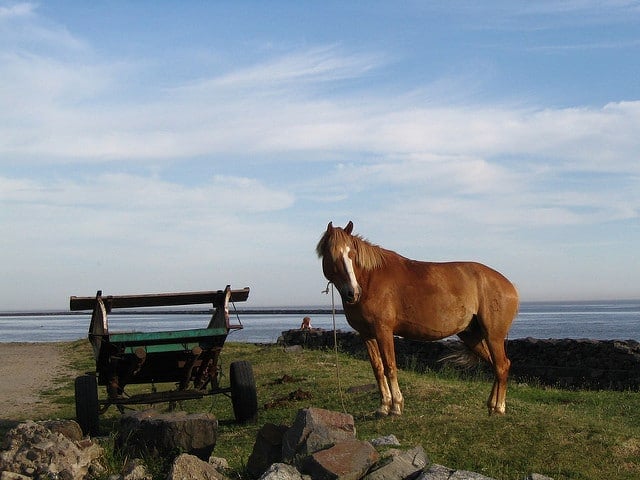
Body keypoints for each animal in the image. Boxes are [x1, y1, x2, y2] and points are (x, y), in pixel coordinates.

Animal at [316, 221, 520, 416]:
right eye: (332, 255)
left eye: (352, 254)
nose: (353, 293)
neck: (369, 281)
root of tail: (509, 285)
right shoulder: (367, 334)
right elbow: (378, 368)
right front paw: (383, 406)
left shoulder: (383, 331)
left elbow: (390, 366)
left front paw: (396, 406)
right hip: (473, 337)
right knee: (497, 366)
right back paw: (492, 406)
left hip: (493, 336)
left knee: (501, 366)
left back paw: (499, 408)